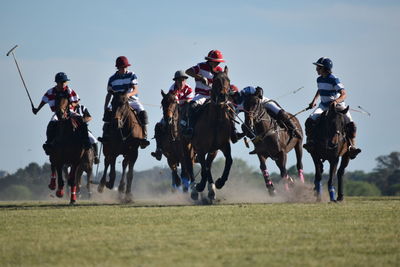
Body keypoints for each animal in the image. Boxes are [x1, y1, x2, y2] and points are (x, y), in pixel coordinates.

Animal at [191, 66, 234, 201]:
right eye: (216, 81)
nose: (223, 96)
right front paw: (200, 186)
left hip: (212, 151)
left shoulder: (223, 145)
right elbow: (203, 167)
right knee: (189, 166)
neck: (216, 121)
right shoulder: (200, 148)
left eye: (228, 80)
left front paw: (220, 182)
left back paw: (211, 190)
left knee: (207, 164)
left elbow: (229, 161)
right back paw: (195, 190)